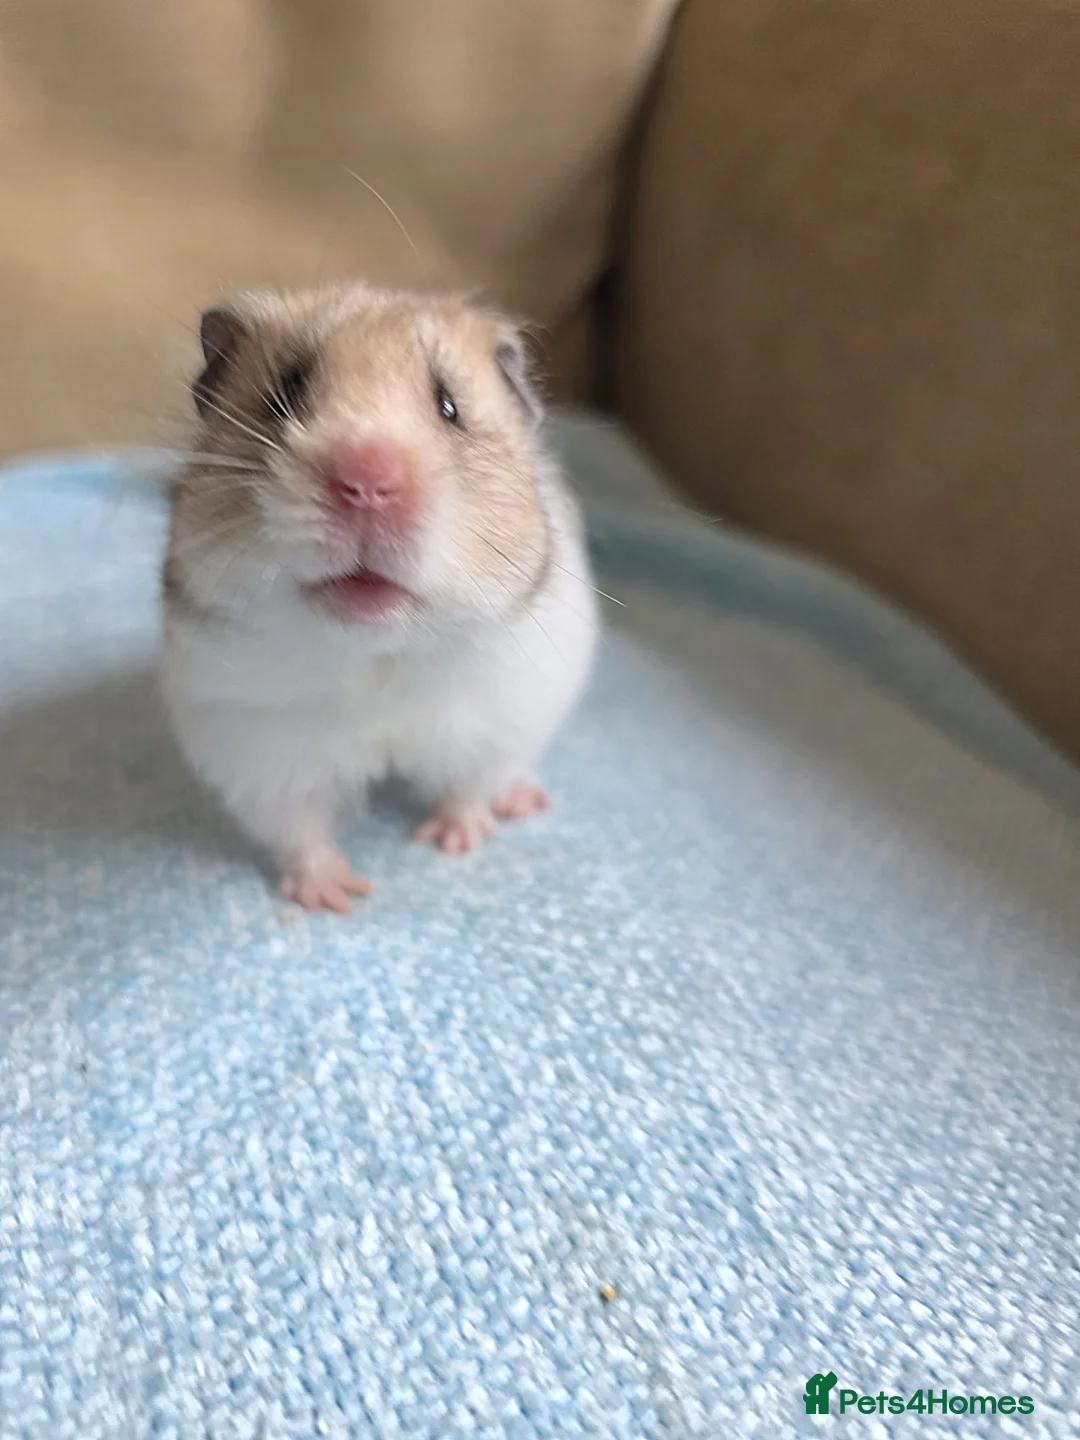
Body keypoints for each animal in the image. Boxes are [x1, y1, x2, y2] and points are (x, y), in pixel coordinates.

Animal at [160, 281, 598, 912]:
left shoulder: (503, 711)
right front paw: (335, 897)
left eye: (449, 407)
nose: (367, 480)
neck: (377, 651)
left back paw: (523, 801)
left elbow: (470, 784)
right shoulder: (257, 743)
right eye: (285, 393)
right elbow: (298, 827)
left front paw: (449, 841)